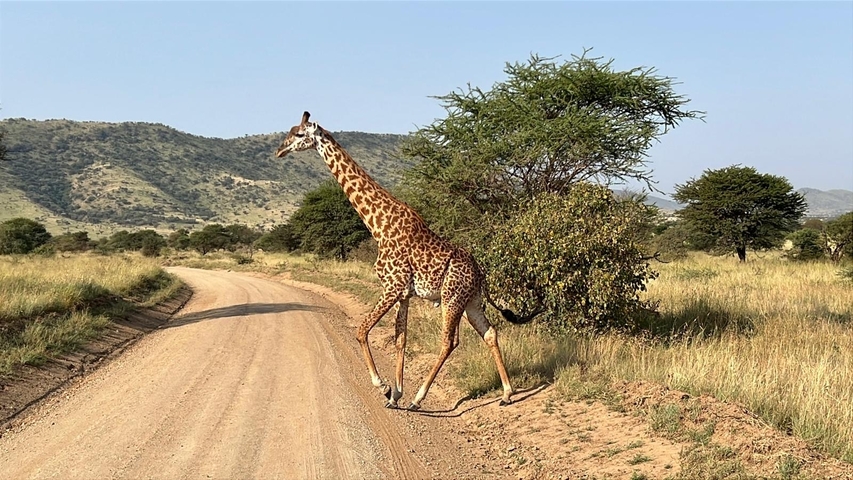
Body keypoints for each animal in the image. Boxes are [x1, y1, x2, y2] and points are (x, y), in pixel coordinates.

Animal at [275, 112, 536, 410]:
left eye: (298, 134)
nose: (279, 150)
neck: (377, 225)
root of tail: (481, 272)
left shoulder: (392, 287)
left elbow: (362, 331)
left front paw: (384, 387)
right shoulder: (403, 294)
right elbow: (401, 339)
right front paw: (395, 394)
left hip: (451, 297)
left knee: (449, 341)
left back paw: (418, 398)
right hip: (471, 301)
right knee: (490, 333)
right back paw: (506, 394)